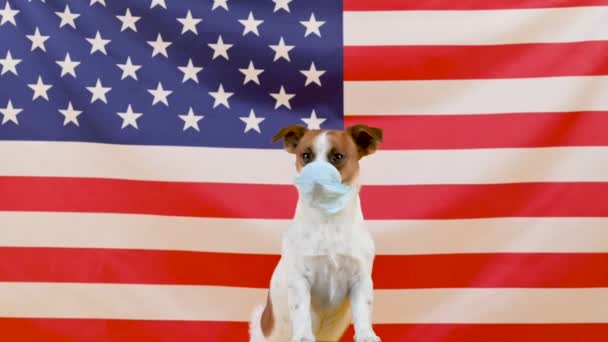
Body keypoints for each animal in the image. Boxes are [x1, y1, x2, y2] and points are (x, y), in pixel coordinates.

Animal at [248, 124, 382, 342]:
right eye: (306, 155)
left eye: (337, 156)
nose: (316, 178)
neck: (328, 219)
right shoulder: (300, 279)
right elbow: (301, 311)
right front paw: (303, 336)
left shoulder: (360, 279)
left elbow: (363, 310)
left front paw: (366, 335)